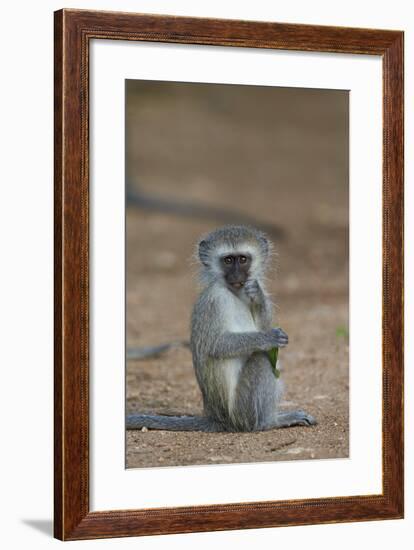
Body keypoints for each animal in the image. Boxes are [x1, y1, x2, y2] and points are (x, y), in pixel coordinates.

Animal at [128, 226, 316, 434]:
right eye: (228, 260)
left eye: (242, 259)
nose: (237, 276)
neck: (234, 292)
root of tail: (217, 418)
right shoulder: (214, 301)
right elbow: (216, 345)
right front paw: (268, 337)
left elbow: (262, 318)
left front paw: (257, 294)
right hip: (242, 411)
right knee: (263, 358)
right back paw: (268, 422)